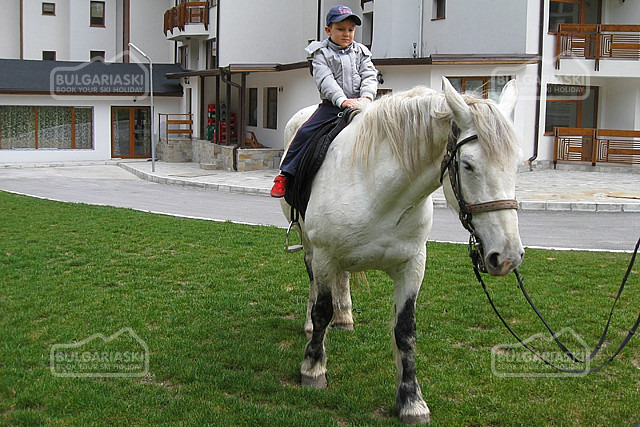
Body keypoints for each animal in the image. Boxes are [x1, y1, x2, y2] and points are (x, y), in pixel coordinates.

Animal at [280, 77, 524, 424]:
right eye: (468, 165)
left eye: (516, 165)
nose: (507, 256)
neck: (379, 194)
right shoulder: (326, 254)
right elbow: (322, 310)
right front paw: (313, 369)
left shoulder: (412, 265)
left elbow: (405, 331)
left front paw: (411, 400)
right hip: (311, 245)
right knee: (314, 283)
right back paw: (313, 326)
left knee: (342, 280)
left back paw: (345, 316)